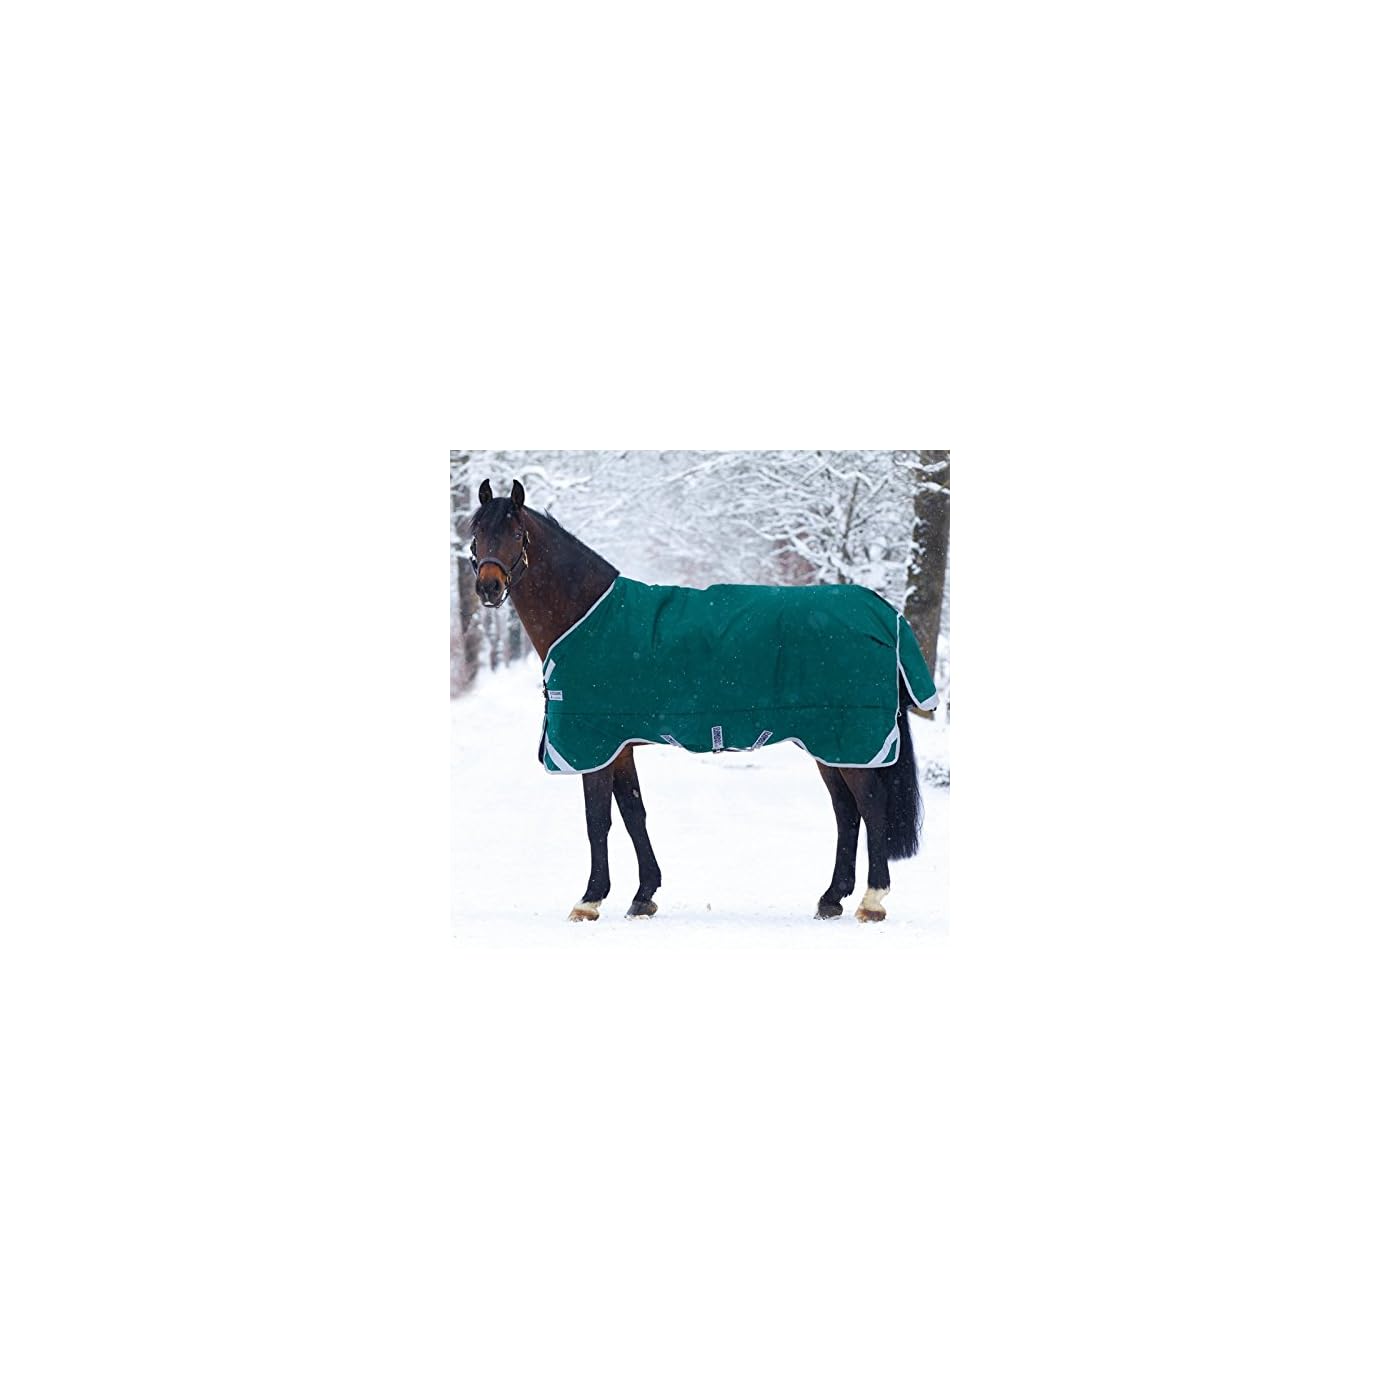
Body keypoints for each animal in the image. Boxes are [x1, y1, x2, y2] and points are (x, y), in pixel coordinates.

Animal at [466, 477, 930, 923]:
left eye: (516, 533)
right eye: (476, 534)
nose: (488, 587)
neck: (586, 616)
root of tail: (883, 612)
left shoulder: (593, 744)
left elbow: (598, 821)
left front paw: (590, 899)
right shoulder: (619, 746)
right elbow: (634, 813)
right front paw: (644, 895)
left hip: (848, 740)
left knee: (870, 807)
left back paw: (872, 900)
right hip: (830, 745)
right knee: (846, 811)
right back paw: (831, 898)